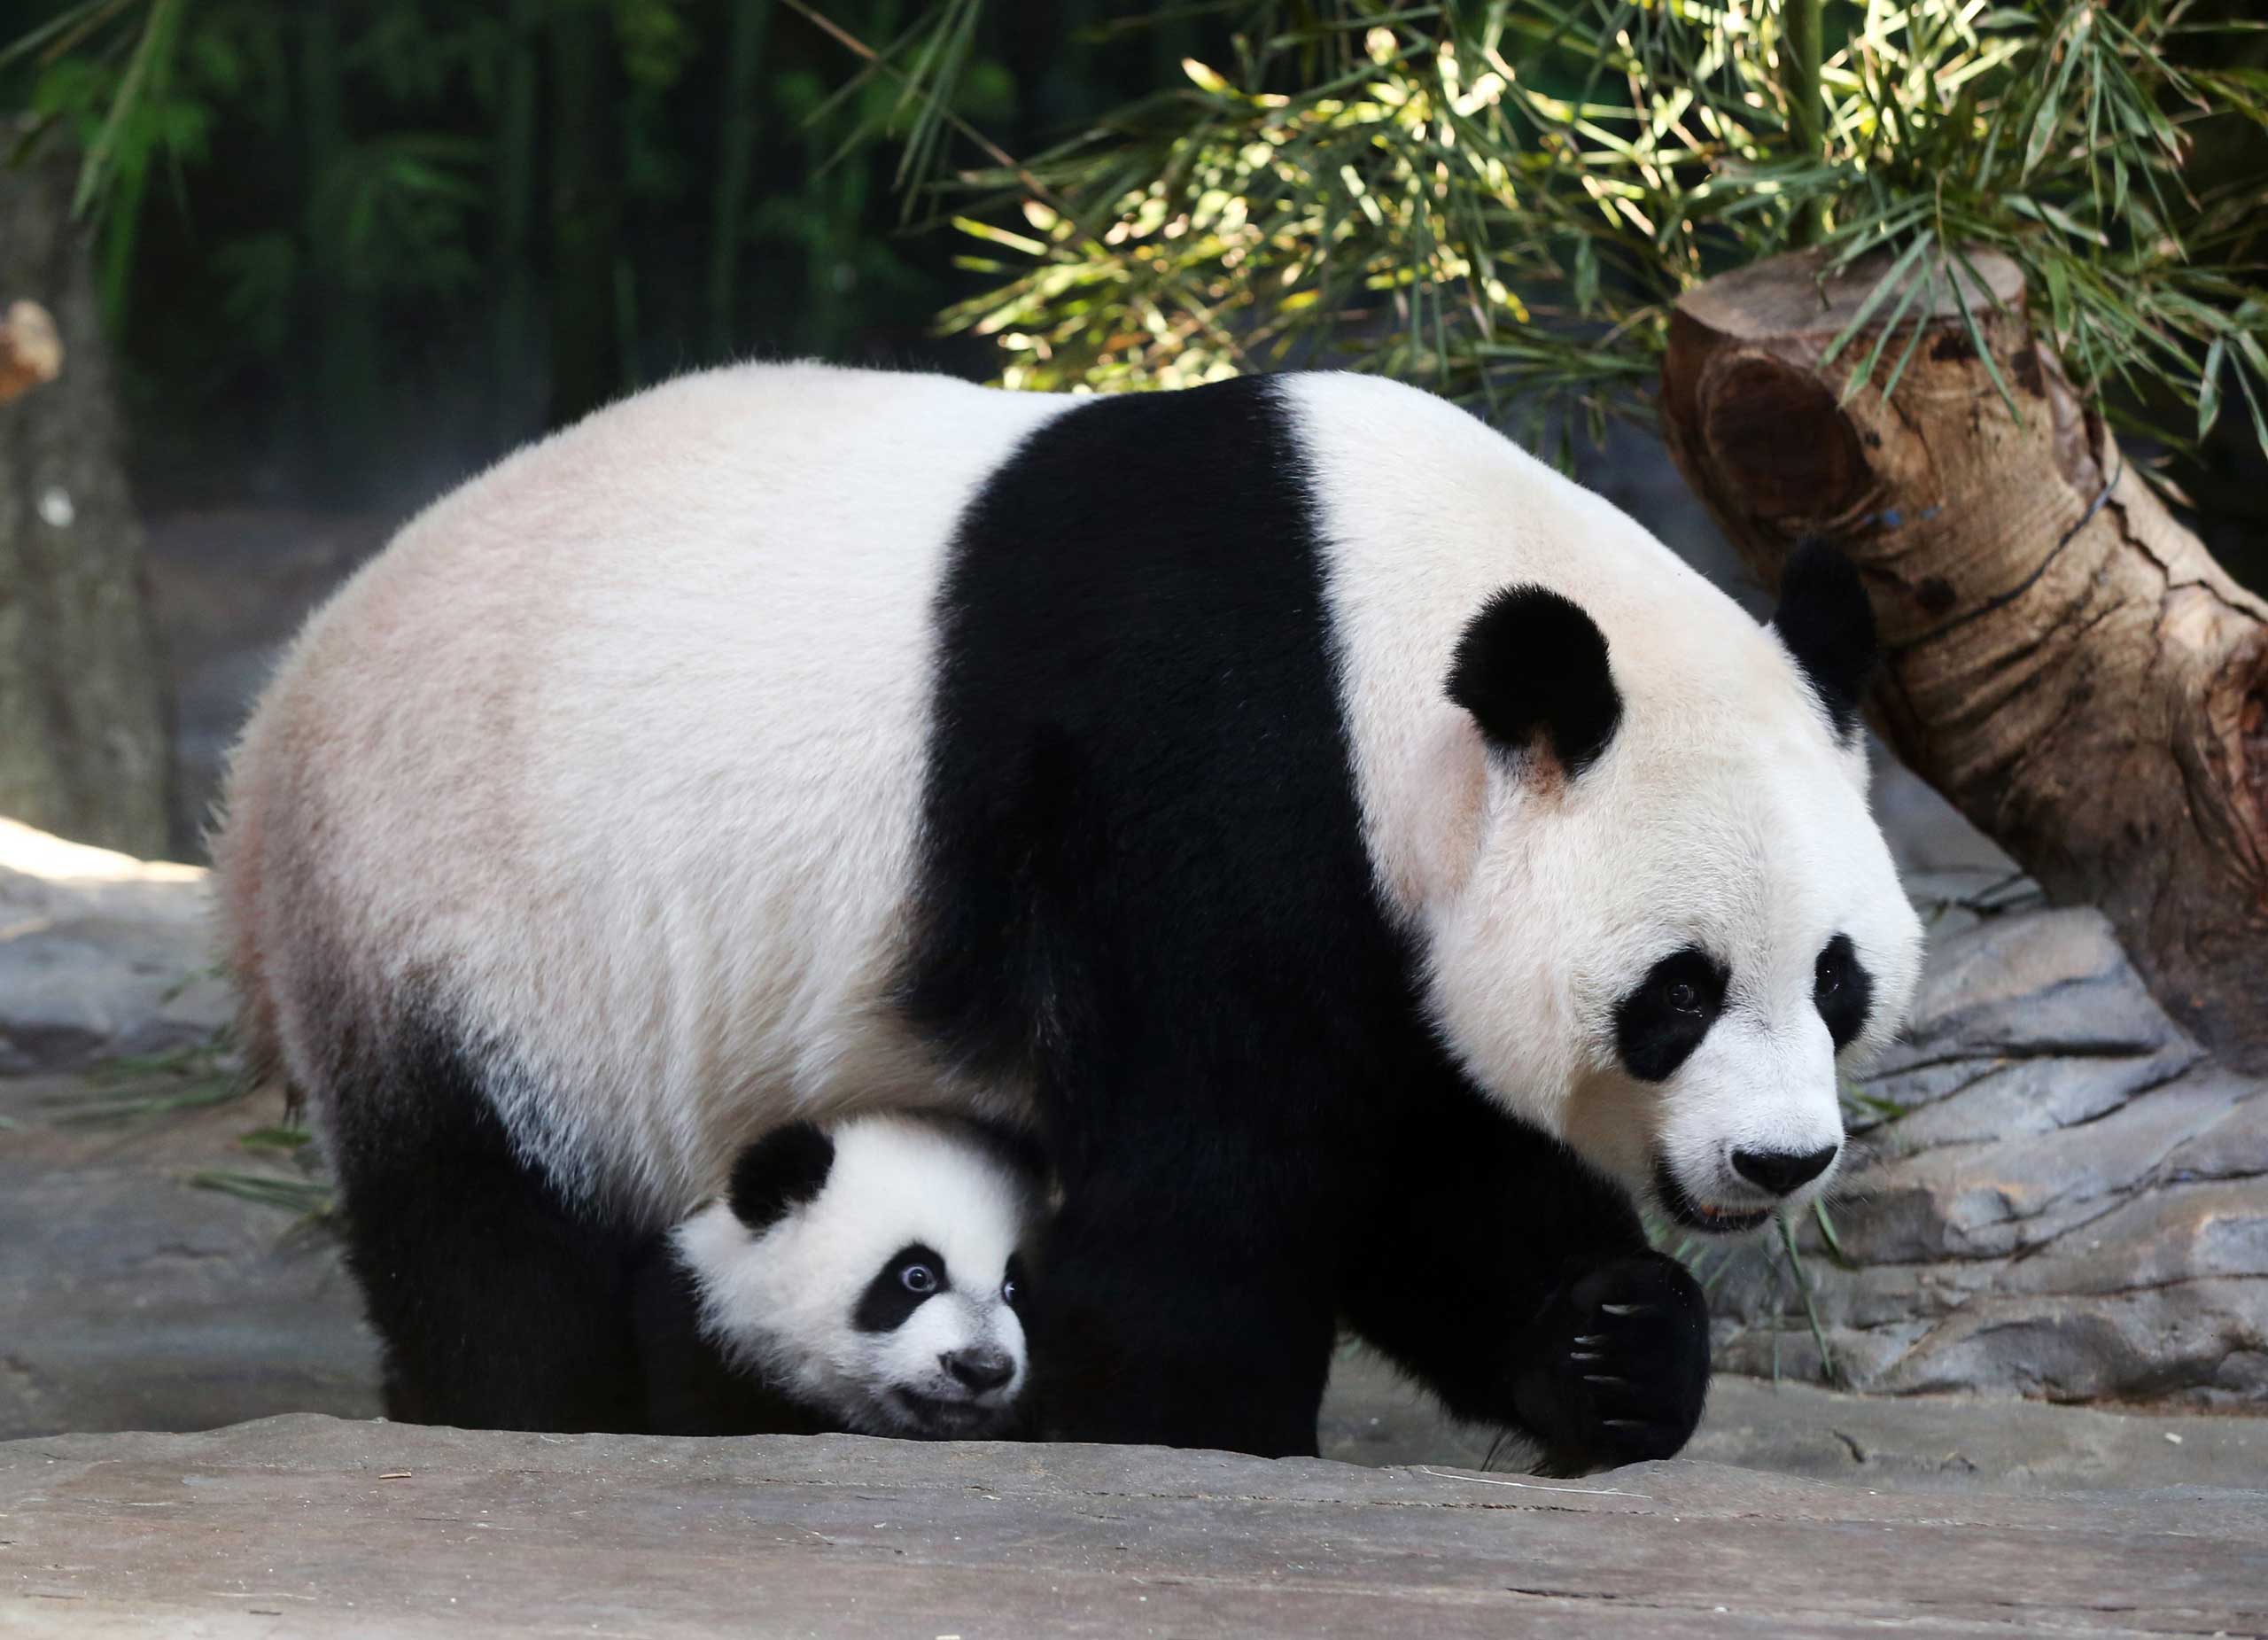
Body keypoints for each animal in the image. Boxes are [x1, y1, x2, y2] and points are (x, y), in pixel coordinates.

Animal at [213, 365, 1922, 1469]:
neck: (1379, 611)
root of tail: (274, 723)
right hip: (469, 917)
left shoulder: (1380, 909)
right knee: (492, 1227)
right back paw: (534, 1413)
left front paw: (1615, 1347)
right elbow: (1213, 1178)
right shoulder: (1202, 772)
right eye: (1678, 991)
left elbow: (1428, 1164)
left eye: (1838, 983)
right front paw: (1193, 1432)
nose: (1780, 1161)